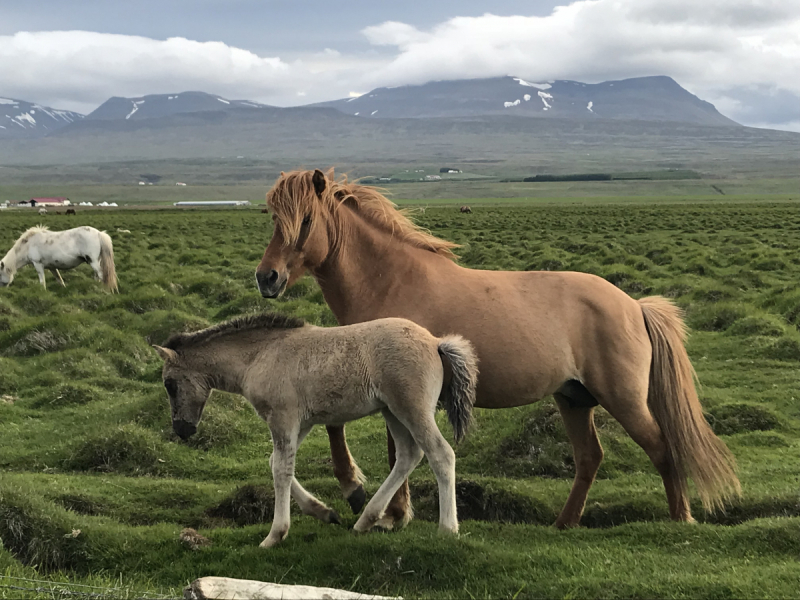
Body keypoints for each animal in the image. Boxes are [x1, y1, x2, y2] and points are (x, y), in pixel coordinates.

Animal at [153, 312, 478, 548]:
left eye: (170, 384)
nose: (181, 429)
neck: (259, 356)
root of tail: (435, 341)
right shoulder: (302, 422)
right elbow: (275, 462)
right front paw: (325, 513)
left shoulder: (283, 417)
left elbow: (281, 470)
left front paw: (275, 535)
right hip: (392, 412)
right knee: (408, 455)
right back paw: (366, 520)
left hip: (411, 408)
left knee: (441, 454)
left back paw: (447, 529)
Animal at [253, 168, 740, 528]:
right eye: (273, 219)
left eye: (305, 221)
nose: (267, 277)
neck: (389, 281)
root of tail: (634, 305)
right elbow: (351, 431)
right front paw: (375, 503)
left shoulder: (395, 389)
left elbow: (391, 448)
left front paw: (382, 508)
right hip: (573, 398)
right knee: (589, 458)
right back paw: (564, 523)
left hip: (623, 398)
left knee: (660, 447)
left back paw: (681, 520)